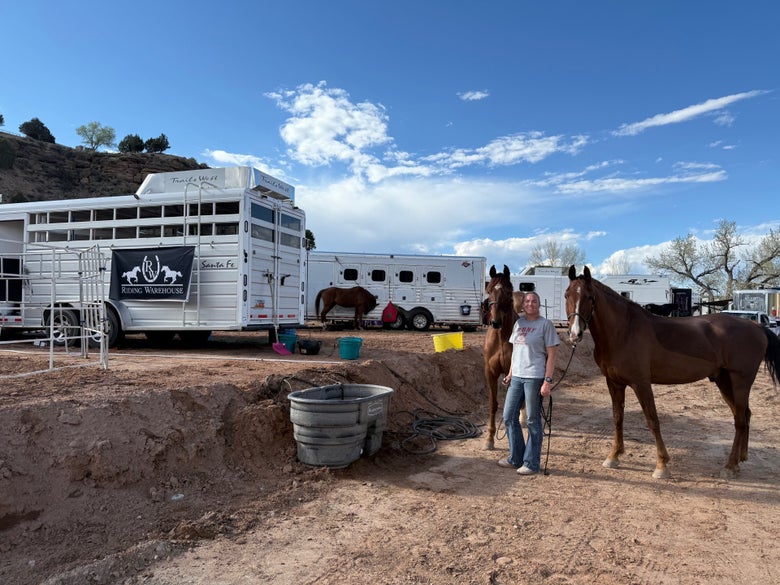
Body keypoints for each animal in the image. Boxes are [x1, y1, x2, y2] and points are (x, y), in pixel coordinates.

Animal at [565, 265, 780, 479]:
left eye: (590, 296)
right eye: (567, 294)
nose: (575, 334)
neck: (623, 331)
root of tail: (757, 327)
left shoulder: (641, 383)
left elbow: (652, 420)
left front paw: (662, 465)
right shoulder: (614, 383)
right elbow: (618, 418)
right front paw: (613, 456)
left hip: (740, 381)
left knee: (740, 420)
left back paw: (729, 466)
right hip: (724, 381)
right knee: (744, 415)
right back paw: (740, 460)